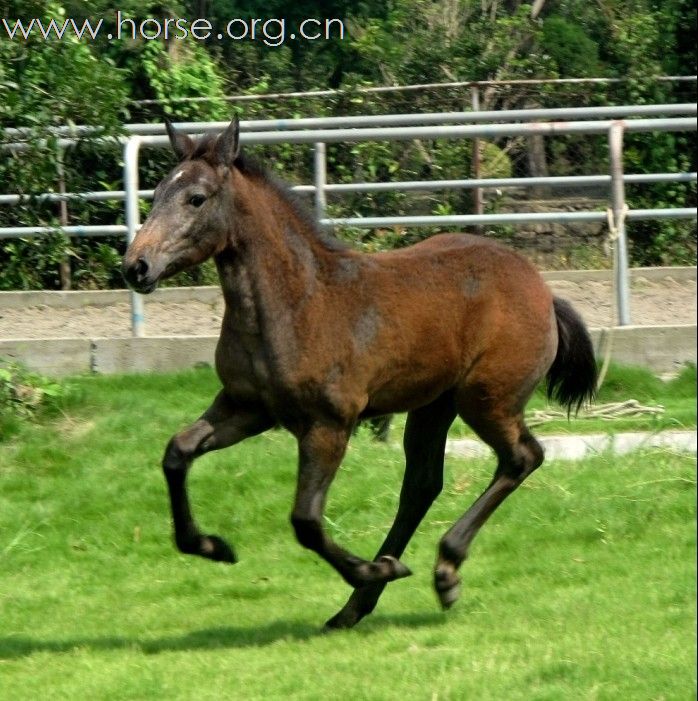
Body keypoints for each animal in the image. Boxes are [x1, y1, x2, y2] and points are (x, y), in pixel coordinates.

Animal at [122, 119, 596, 628]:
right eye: (156, 192)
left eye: (197, 198)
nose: (136, 266)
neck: (297, 302)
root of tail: (543, 291)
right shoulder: (246, 407)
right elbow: (177, 452)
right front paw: (213, 546)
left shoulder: (328, 425)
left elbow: (306, 521)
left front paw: (372, 569)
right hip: (434, 405)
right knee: (422, 485)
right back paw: (360, 604)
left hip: (487, 400)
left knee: (521, 457)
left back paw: (441, 570)